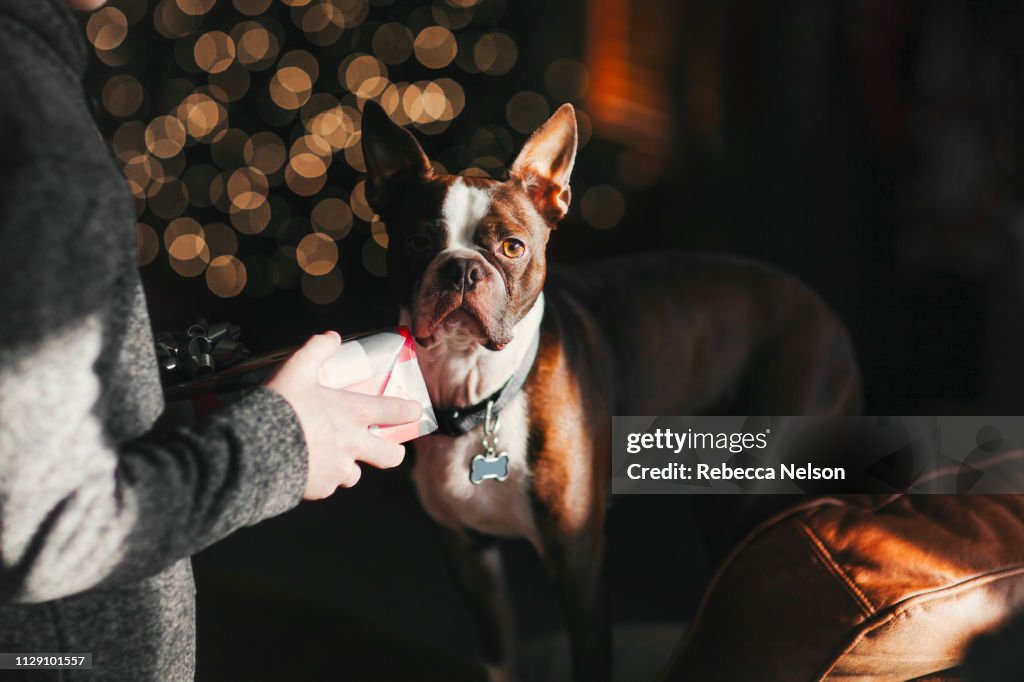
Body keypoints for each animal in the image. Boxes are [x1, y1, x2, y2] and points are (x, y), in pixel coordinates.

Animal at [360, 98, 864, 675]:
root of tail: (831, 320)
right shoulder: (467, 554)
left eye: (512, 247)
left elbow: (591, 658)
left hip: (755, 487)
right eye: (418, 243)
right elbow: (500, 655)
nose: (462, 269)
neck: (479, 395)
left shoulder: (579, 562)